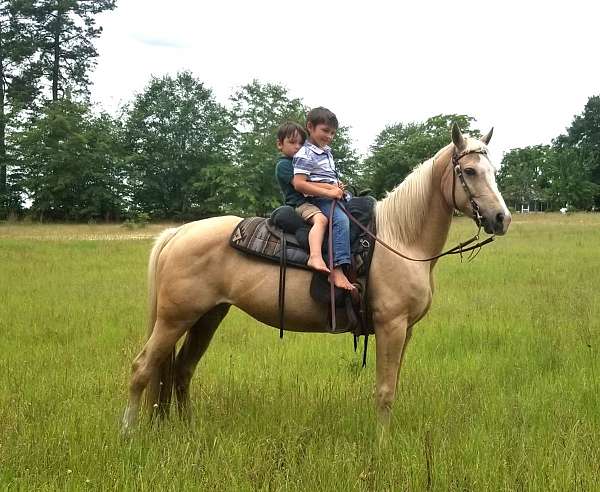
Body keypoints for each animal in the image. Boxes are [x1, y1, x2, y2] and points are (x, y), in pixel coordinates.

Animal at [120, 125, 510, 432]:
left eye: (493, 170)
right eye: (470, 171)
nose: (501, 218)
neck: (400, 240)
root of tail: (178, 233)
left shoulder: (406, 329)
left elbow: (393, 386)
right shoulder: (392, 325)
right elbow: (384, 392)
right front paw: (382, 446)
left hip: (207, 316)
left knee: (181, 370)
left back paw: (188, 429)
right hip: (175, 318)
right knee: (142, 368)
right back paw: (128, 433)